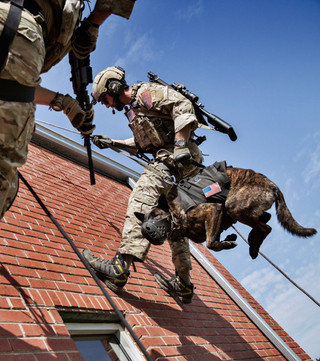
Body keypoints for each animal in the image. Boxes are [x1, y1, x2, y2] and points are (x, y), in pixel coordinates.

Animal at [139, 167, 316, 258]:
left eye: (156, 216)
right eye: (144, 221)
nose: (145, 229)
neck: (175, 213)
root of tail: (270, 183)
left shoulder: (213, 210)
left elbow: (210, 243)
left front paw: (228, 243)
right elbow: (213, 240)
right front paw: (229, 239)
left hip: (234, 207)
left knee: (267, 228)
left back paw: (254, 244)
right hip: (242, 209)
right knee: (266, 217)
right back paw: (253, 238)